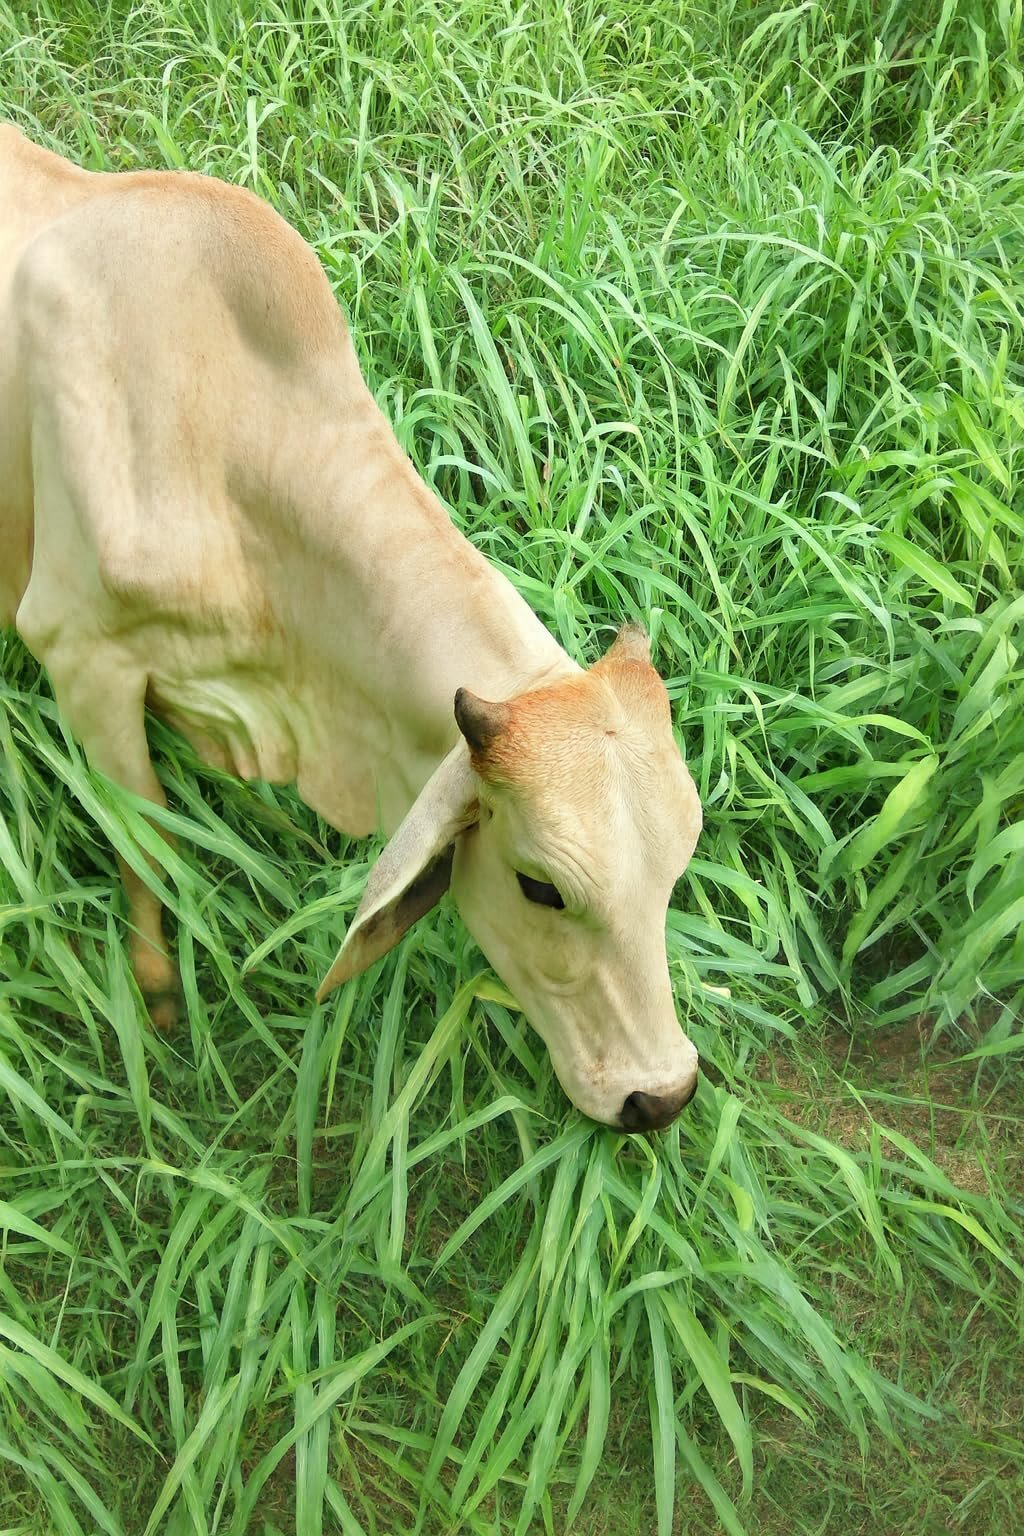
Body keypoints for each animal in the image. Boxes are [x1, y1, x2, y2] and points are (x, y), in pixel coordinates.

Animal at [0, 126, 704, 1132]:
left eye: (678, 865)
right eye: (541, 886)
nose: (663, 1094)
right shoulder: (78, 652)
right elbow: (149, 843)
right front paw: (158, 993)